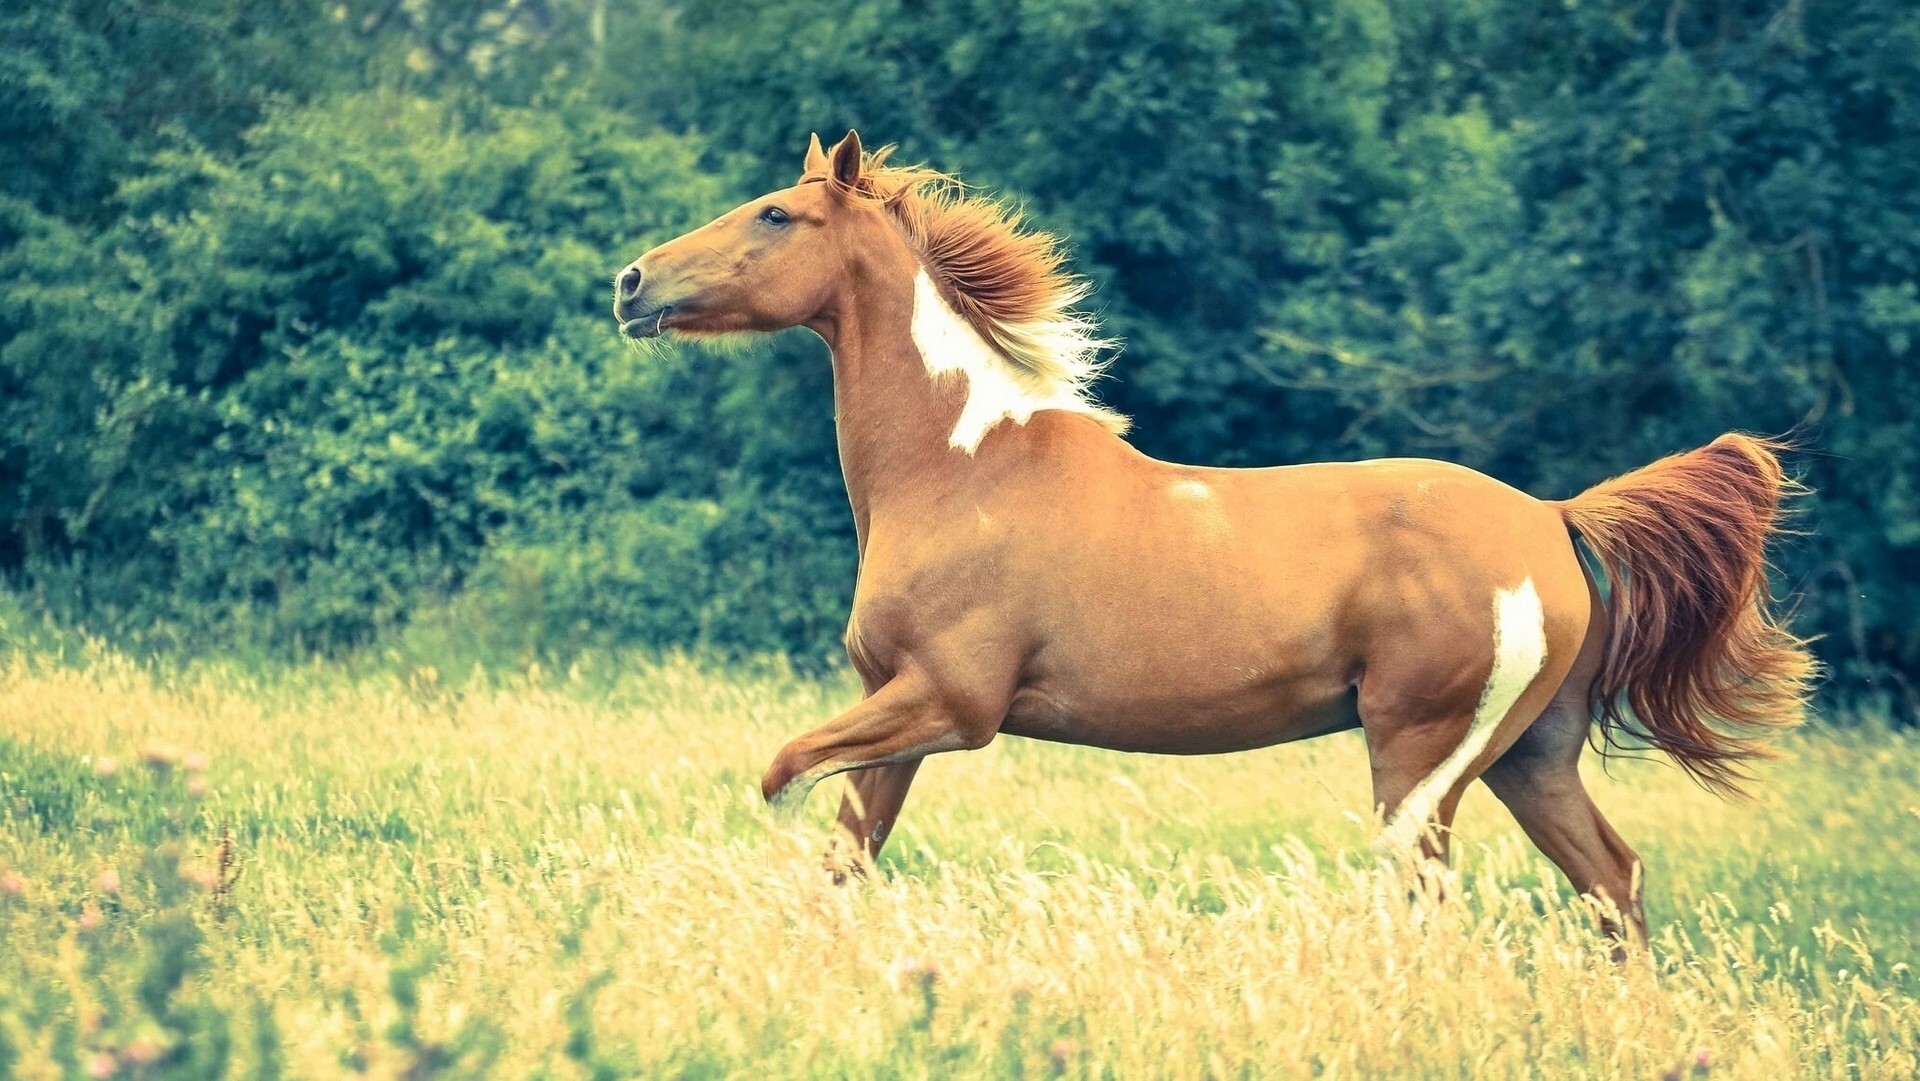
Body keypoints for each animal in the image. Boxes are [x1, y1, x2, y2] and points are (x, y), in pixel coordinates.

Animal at [611, 130, 1815, 942]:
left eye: (776, 215)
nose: (630, 283)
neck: (963, 469)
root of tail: (1555, 524)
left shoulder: (952, 705)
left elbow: (779, 773)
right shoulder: (897, 716)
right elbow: (845, 855)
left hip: (1421, 755)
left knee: (1432, 894)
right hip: (1529, 755)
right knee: (1613, 880)